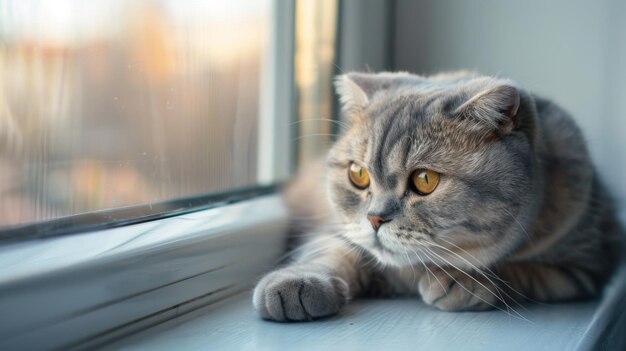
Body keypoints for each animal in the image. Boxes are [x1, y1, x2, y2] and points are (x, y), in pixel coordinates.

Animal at [250, 71, 620, 322]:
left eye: (425, 180)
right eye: (358, 174)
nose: (374, 218)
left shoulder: (585, 269)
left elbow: (522, 272)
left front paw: (463, 280)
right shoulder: (334, 231)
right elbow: (328, 251)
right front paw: (296, 281)